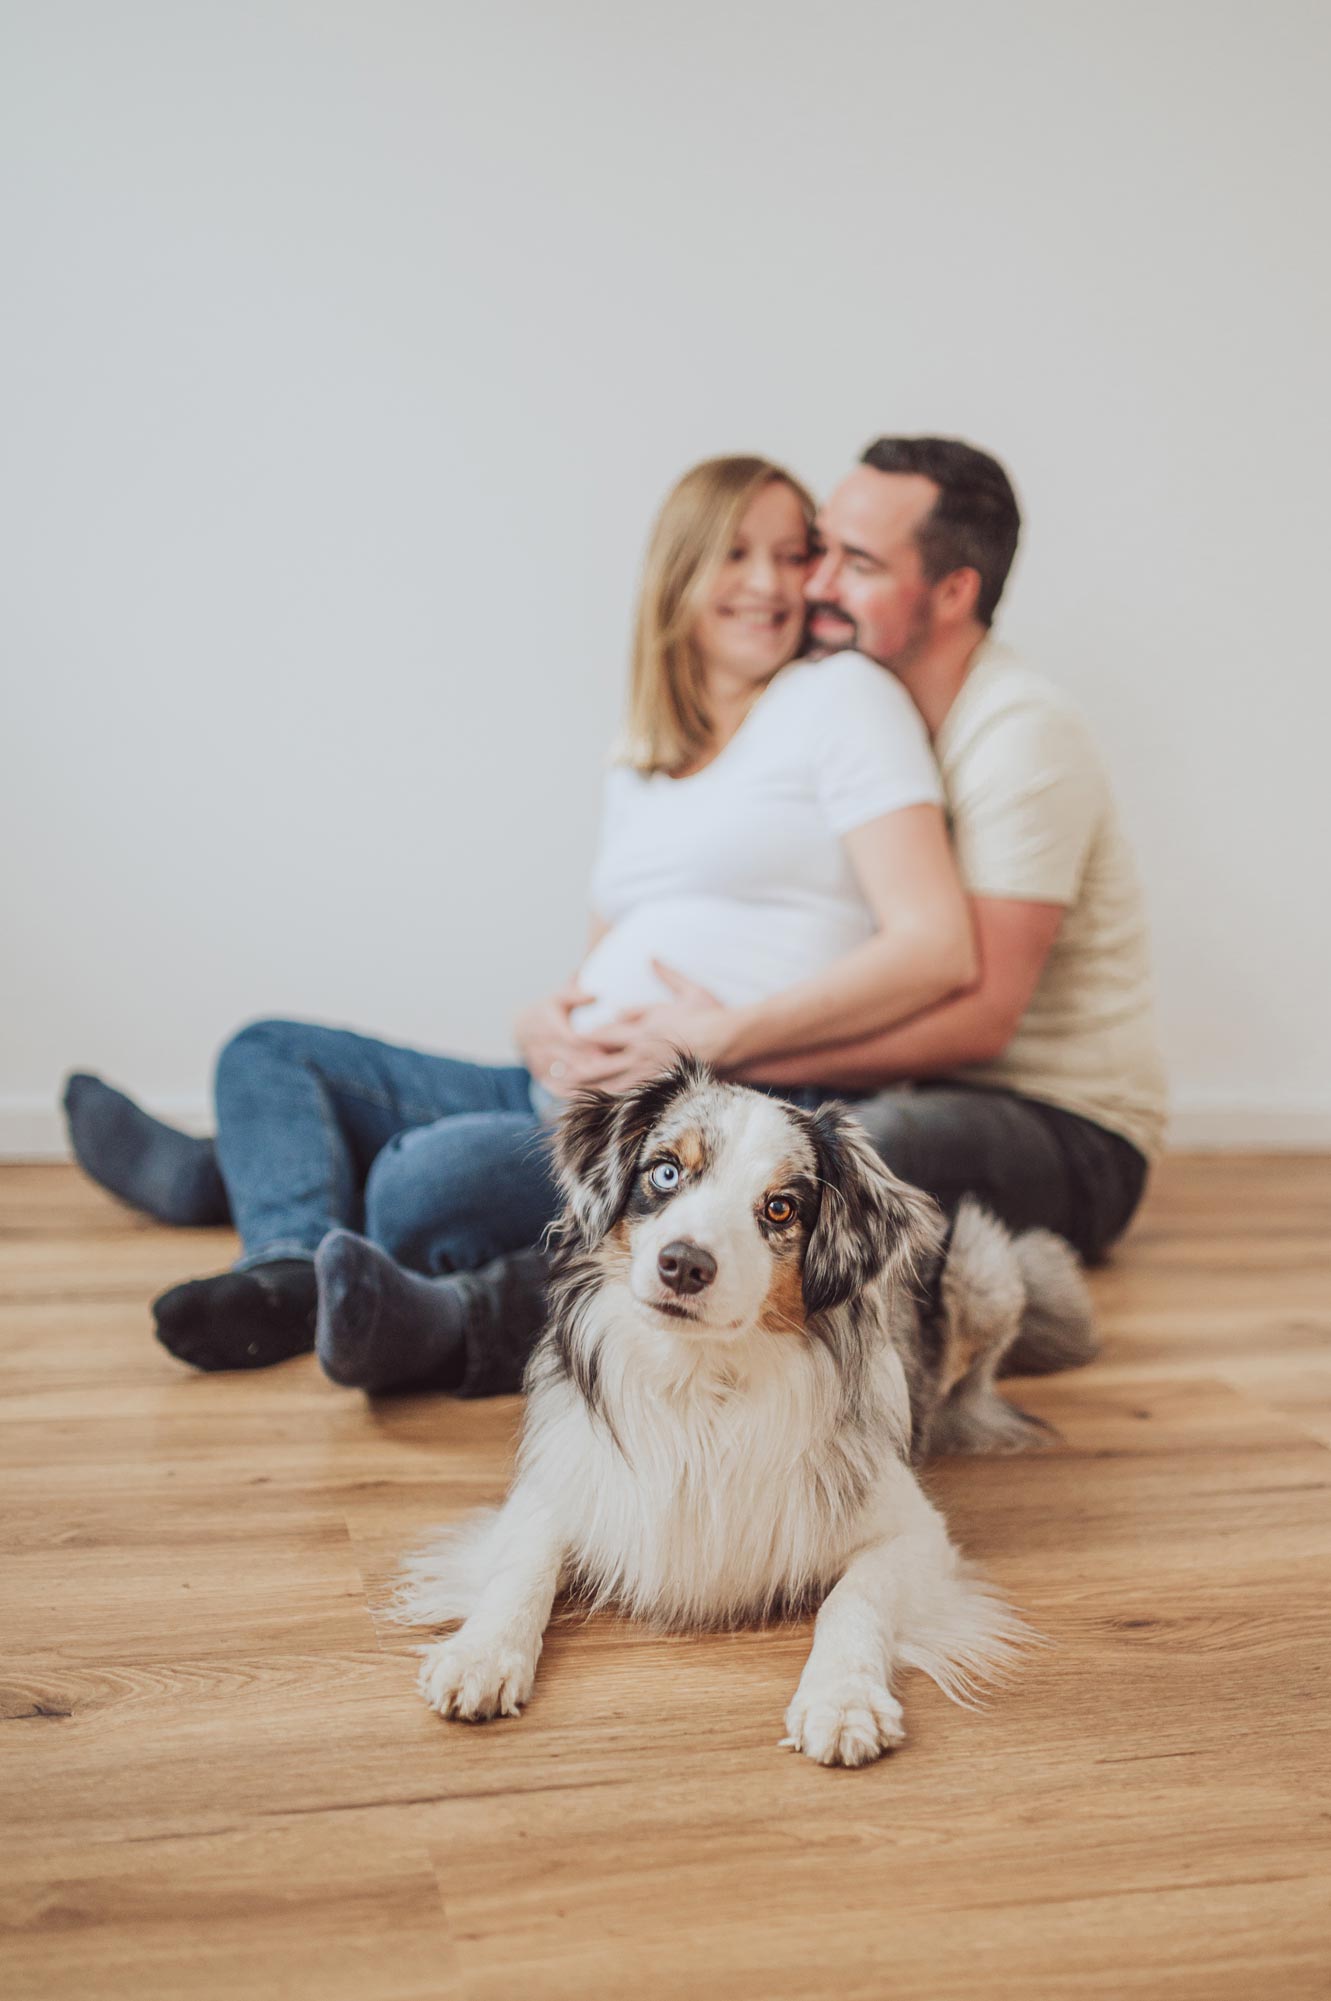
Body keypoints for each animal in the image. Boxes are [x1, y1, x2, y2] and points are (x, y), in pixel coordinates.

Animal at [392, 1064, 1088, 1768]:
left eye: (780, 1207)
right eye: (665, 1172)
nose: (683, 1264)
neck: (703, 1379)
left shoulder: (912, 1529)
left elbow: (852, 1599)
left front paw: (843, 1701)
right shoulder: (565, 1481)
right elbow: (522, 1566)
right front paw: (480, 1654)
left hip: (983, 1259)